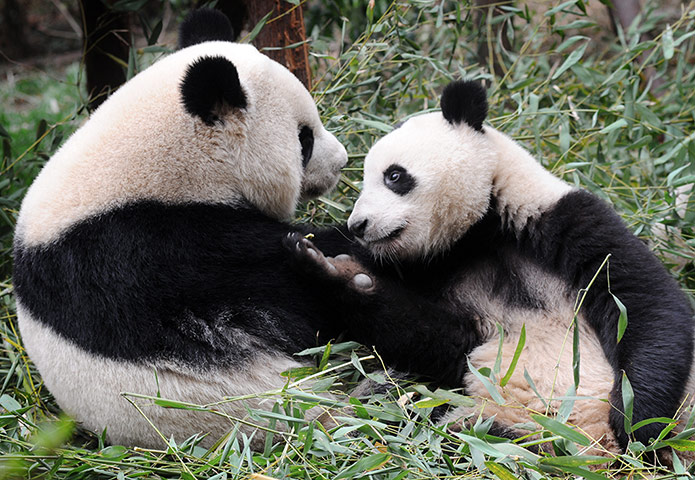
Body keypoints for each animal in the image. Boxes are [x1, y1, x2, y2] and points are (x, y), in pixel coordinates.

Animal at [288, 80, 695, 452]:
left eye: (394, 175)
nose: (359, 224)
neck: (478, 230)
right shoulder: (440, 278)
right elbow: (434, 338)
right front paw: (329, 261)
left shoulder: (563, 220)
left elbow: (645, 303)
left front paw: (635, 421)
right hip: (479, 418)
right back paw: (341, 277)